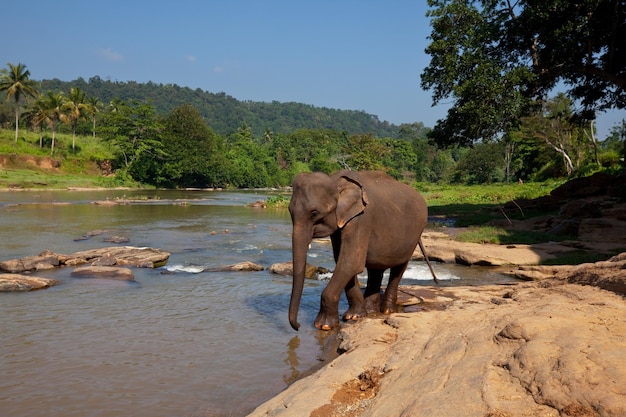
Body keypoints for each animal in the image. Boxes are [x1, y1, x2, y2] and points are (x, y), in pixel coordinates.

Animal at [286, 171, 436, 330]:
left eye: (314, 213)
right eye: (290, 211)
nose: (298, 326)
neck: (337, 180)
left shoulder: (361, 220)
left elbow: (350, 262)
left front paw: (324, 325)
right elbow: (343, 261)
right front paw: (355, 315)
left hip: (414, 235)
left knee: (399, 268)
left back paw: (387, 310)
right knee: (376, 269)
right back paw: (371, 311)